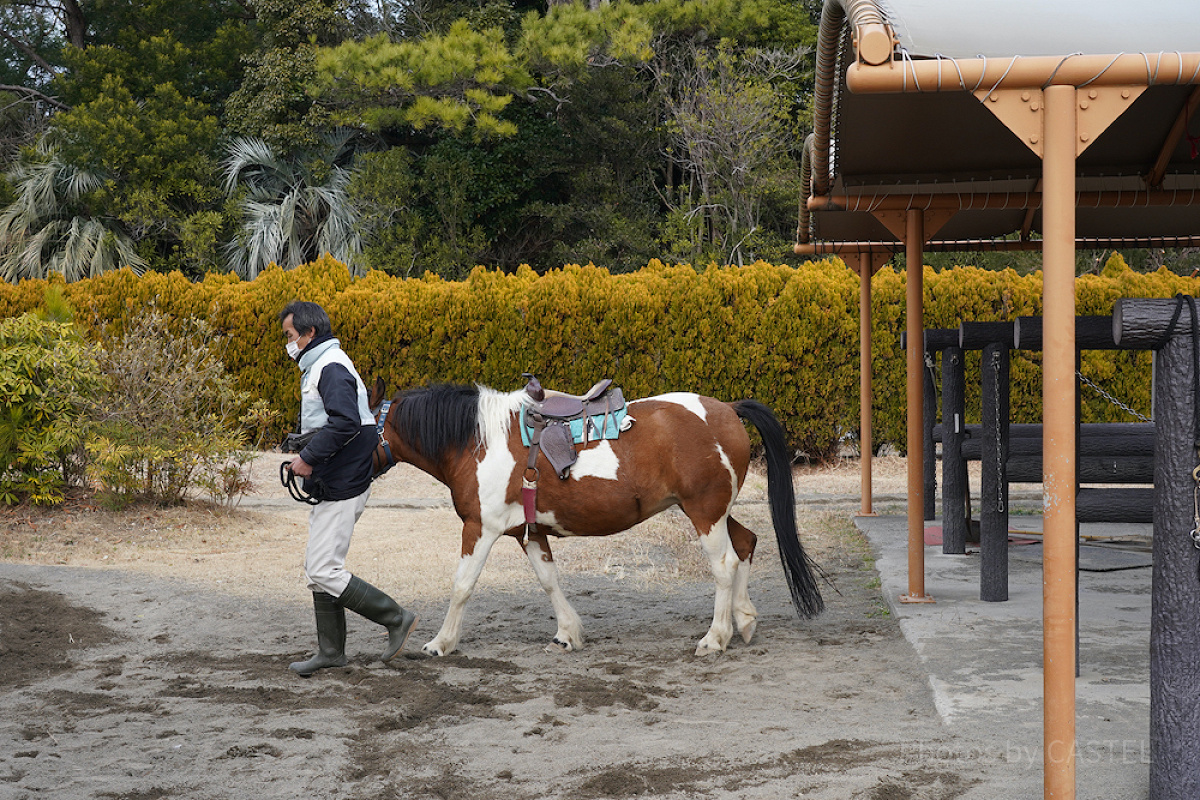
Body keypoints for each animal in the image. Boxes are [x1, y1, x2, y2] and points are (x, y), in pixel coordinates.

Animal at [372, 386, 825, 657]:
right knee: (746, 543)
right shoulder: (528, 532)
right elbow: (548, 580)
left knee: (725, 565)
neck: (479, 441)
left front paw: (441, 642)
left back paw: (715, 637)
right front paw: (568, 633)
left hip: (704, 512)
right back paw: (744, 620)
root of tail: (727, 410)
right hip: (713, 510)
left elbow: (462, 585)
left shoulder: (481, 528)